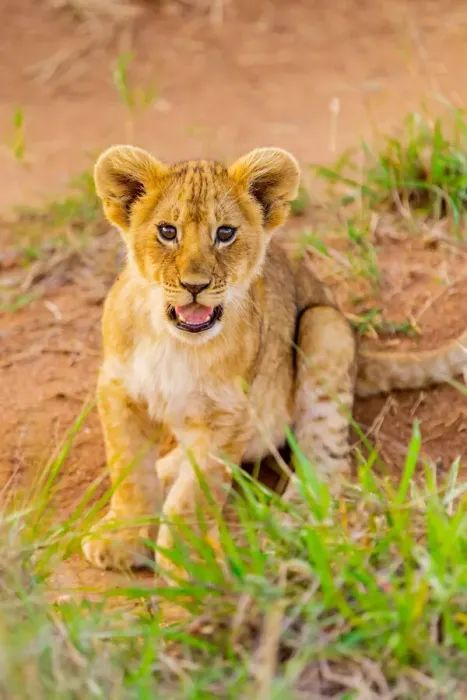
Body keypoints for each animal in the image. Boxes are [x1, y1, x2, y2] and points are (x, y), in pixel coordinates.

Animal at [82, 145, 467, 580]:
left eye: (225, 233)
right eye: (167, 231)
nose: (195, 286)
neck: (175, 342)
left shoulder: (228, 416)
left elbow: (194, 496)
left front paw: (189, 563)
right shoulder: (118, 391)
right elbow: (129, 472)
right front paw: (122, 538)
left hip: (325, 327)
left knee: (328, 469)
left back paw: (291, 532)